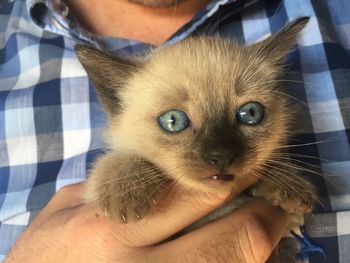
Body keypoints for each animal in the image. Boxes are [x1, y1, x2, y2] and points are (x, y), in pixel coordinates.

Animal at [76, 17, 318, 227]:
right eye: (173, 121)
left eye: (250, 113)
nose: (222, 156)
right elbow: (115, 158)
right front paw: (125, 193)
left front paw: (288, 184)